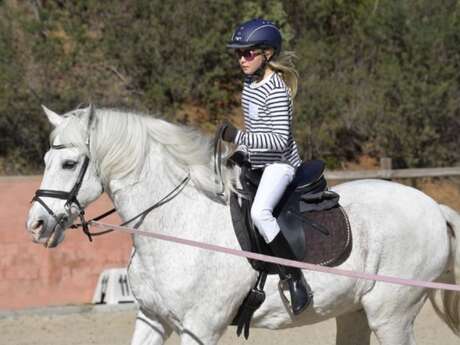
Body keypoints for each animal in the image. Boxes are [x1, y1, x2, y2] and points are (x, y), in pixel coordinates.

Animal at [27, 105, 458, 344]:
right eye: (46, 160)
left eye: (69, 163)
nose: (36, 224)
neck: (177, 221)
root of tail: (432, 206)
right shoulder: (151, 320)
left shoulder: (199, 328)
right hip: (353, 313)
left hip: (392, 315)